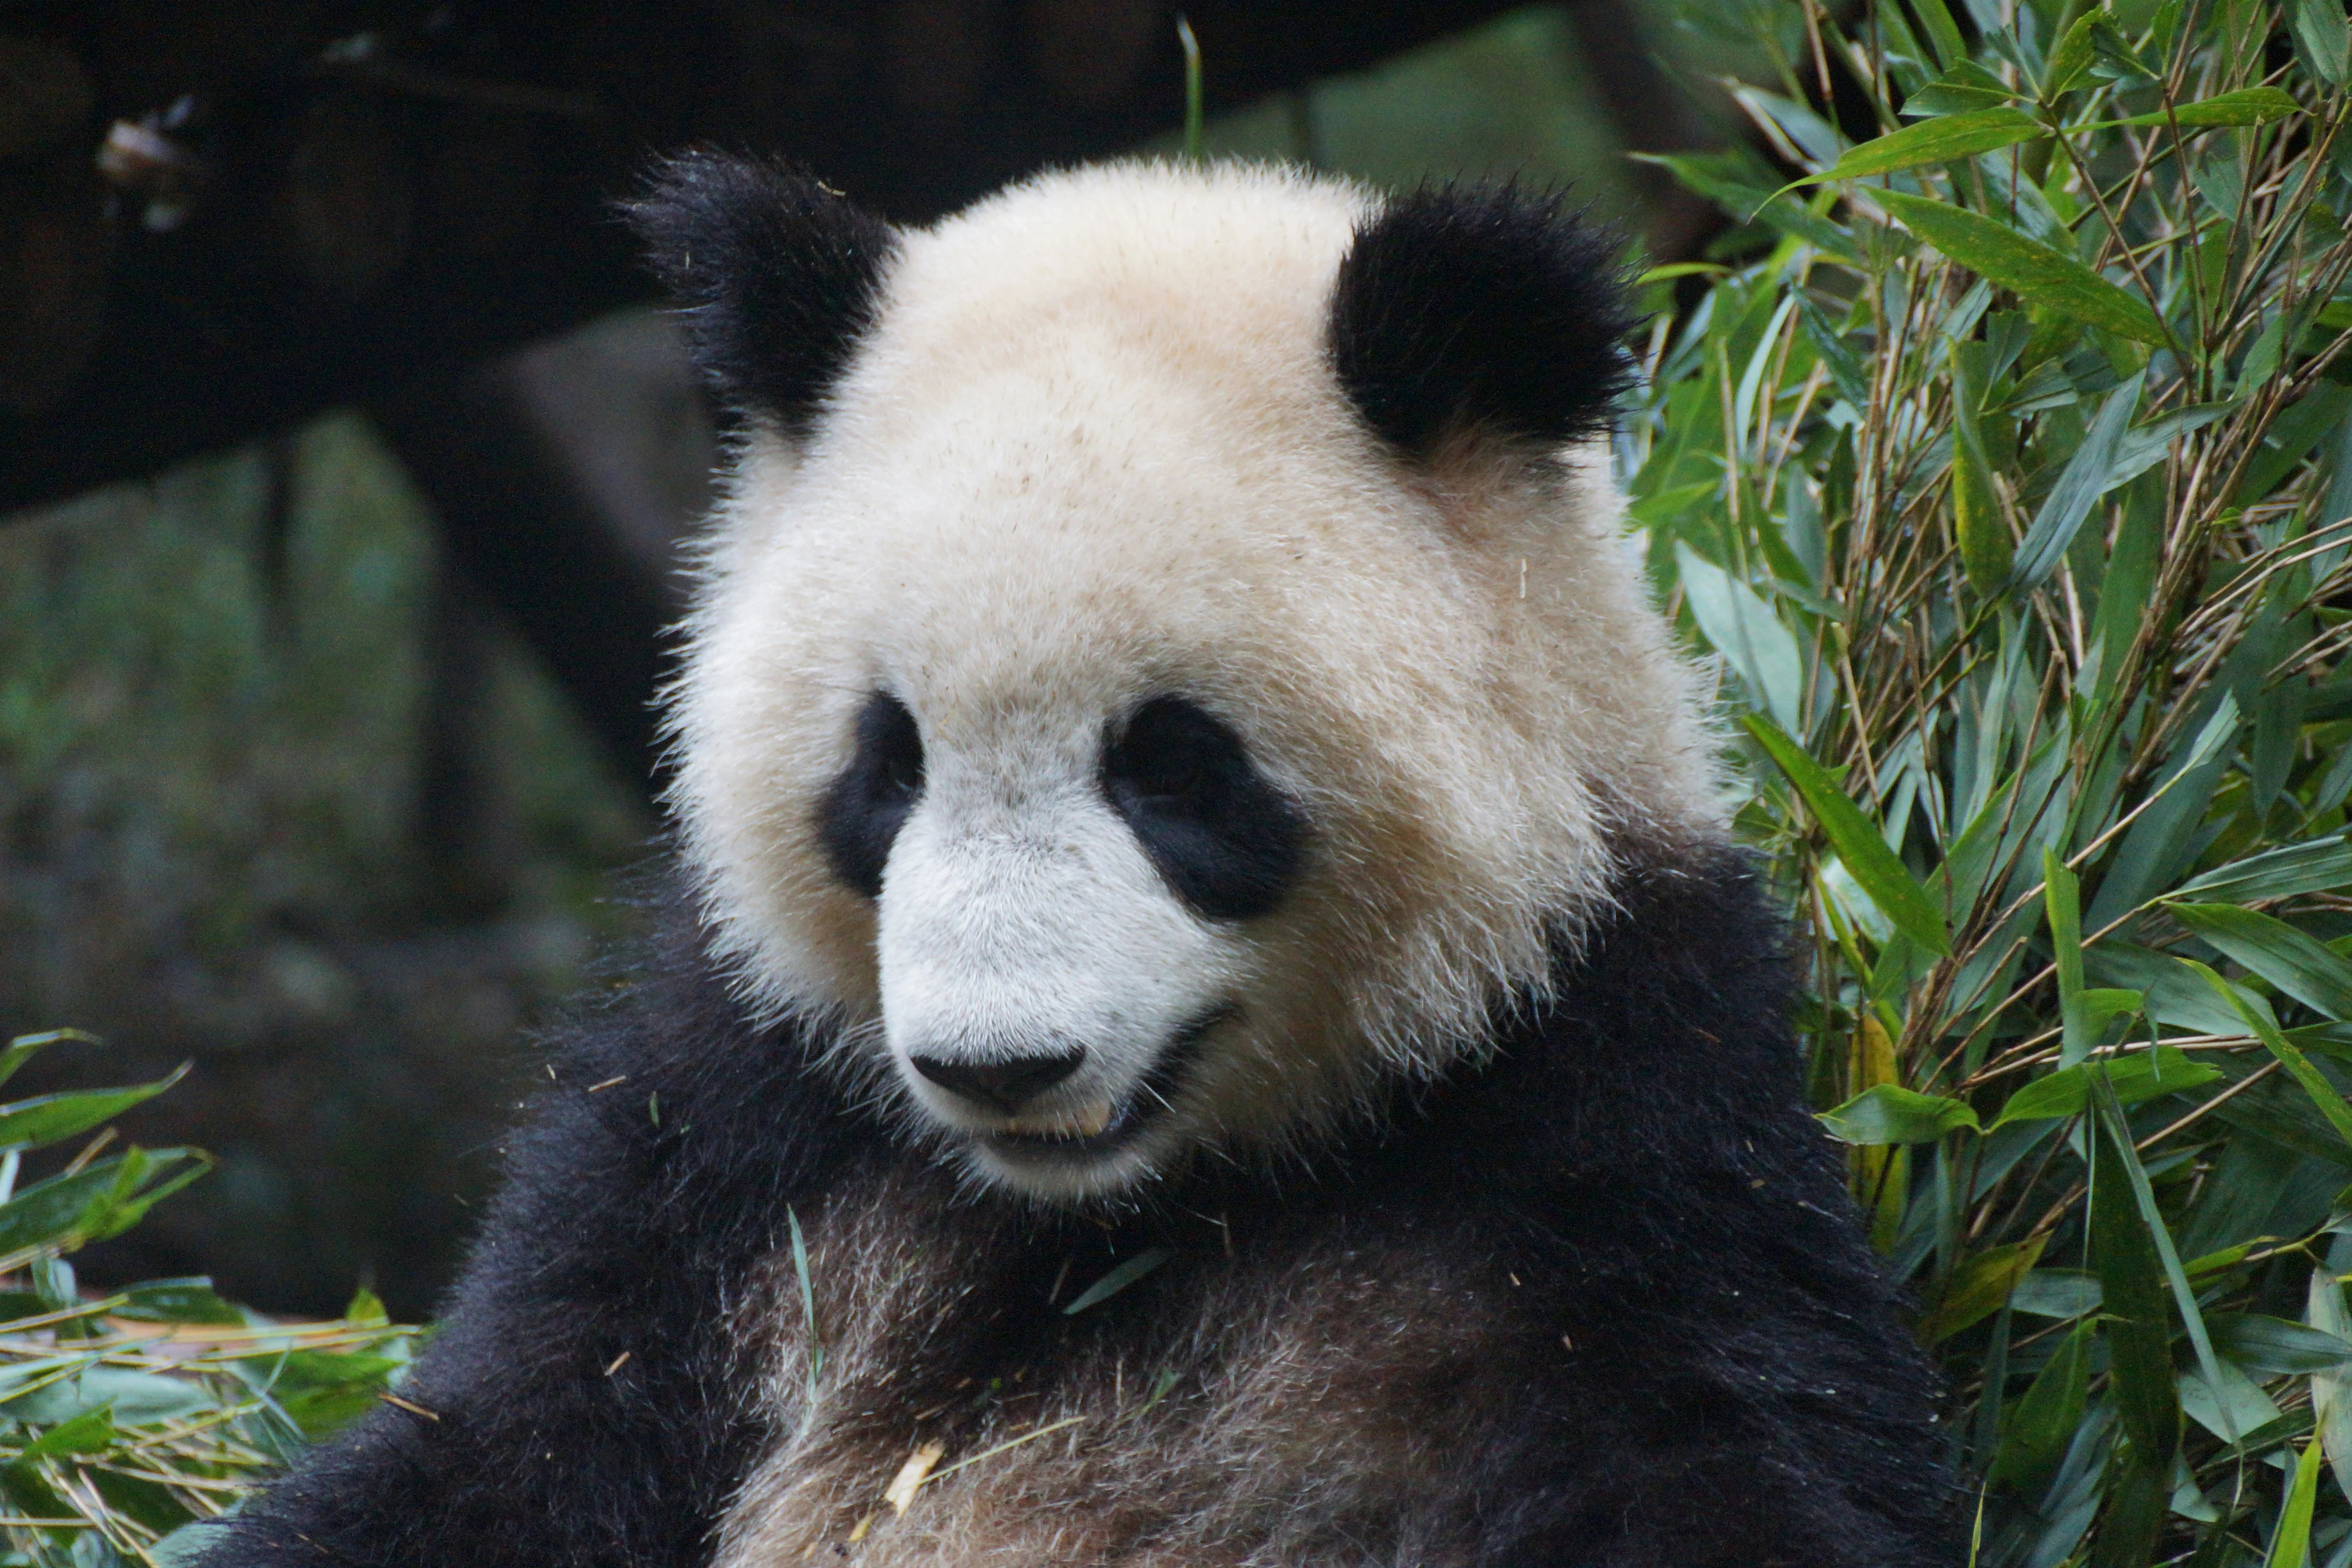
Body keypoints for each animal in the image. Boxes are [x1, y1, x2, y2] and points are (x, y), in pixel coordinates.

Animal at [198, 156, 1947, 1568]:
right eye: (888, 762)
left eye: (1173, 766)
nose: (1000, 1065)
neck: (1113, 1214)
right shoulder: (735, 1138)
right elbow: (504, 1438)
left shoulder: (1607, 1109)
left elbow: (1713, 1450)